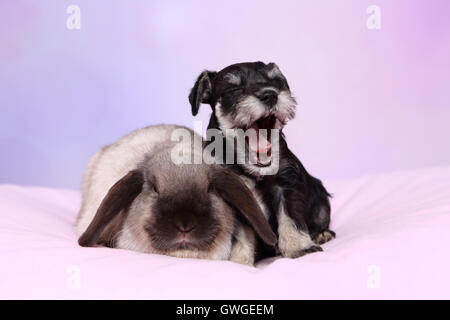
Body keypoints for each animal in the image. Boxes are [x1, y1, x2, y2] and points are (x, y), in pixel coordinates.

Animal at [188, 61, 336, 258]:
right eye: (234, 88)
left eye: (277, 82)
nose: (270, 94)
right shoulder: (235, 196)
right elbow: (241, 235)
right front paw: (239, 259)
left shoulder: (286, 185)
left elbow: (290, 218)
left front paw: (299, 247)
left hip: (321, 203)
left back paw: (322, 234)